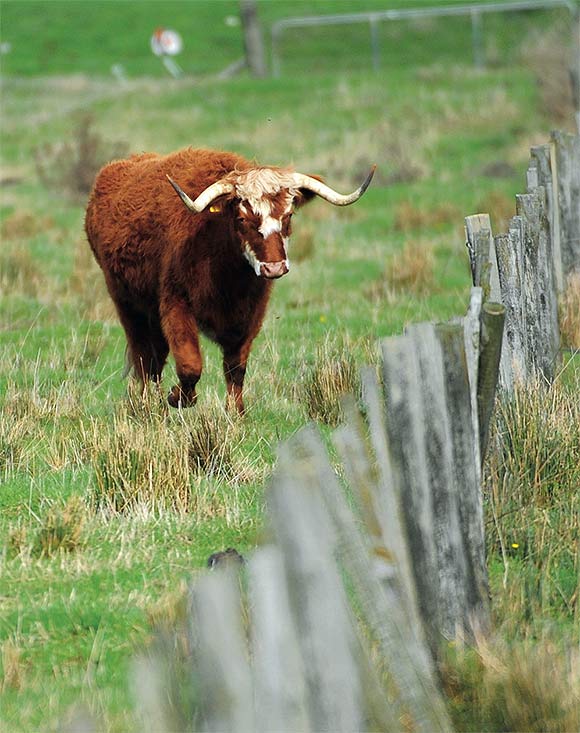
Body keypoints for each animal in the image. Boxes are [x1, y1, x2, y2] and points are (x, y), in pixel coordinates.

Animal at [86, 147, 376, 412]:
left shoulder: (250, 315)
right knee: (146, 359)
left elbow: (235, 367)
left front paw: (235, 412)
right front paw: (179, 397)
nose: (274, 268)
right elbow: (190, 364)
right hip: (127, 304)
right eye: (242, 218)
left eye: (288, 215)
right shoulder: (175, 303)